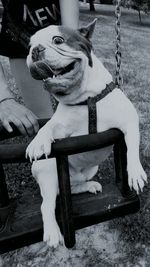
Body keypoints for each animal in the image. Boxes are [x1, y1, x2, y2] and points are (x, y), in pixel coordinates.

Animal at [25, 20, 146, 249]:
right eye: (28, 45)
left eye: (58, 40)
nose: (35, 50)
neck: (87, 98)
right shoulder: (60, 125)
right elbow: (48, 127)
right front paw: (38, 141)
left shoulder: (129, 121)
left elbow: (132, 148)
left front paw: (135, 172)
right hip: (47, 171)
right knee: (47, 204)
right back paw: (52, 232)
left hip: (89, 170)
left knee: (72, 188)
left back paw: (88, 185)